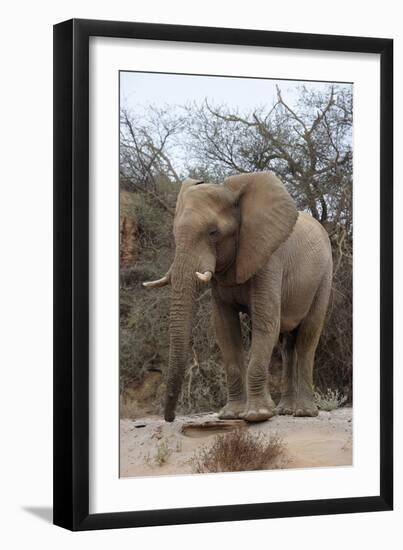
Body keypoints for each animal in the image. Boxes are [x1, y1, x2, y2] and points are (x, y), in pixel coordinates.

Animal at [144, 171, 332, 422]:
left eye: (213, 233)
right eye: (176, 234)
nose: (170, 418)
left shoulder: (269, 258)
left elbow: (265, 323)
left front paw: (257, 415)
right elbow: (225, 329)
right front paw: (232, 415)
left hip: (324, 276)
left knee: (307, 336)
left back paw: (303, 413)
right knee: (287, 344)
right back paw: (284, 410)